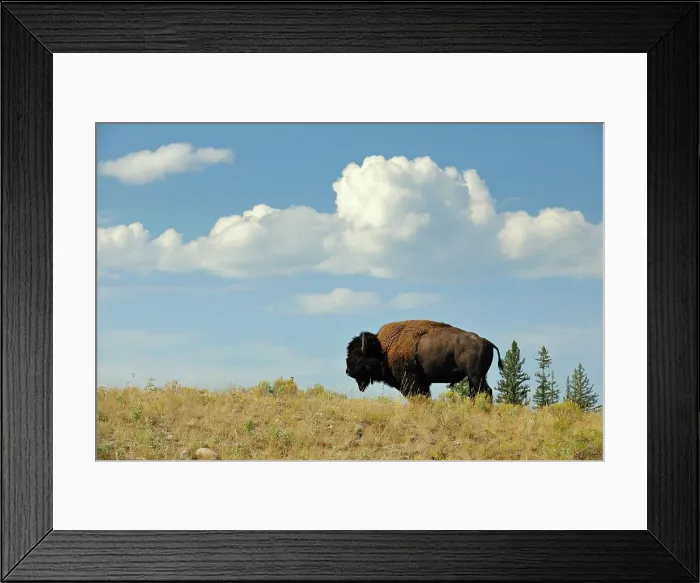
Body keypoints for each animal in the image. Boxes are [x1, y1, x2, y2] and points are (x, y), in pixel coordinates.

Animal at [345, 319, 504, 399]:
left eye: (358, 355)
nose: (347, 371)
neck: (384, 348)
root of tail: (487, 342)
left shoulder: (409, 381)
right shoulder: (423, 383)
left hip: (476, 376)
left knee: (486, 391)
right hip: (474, 378)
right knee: (475, 393)